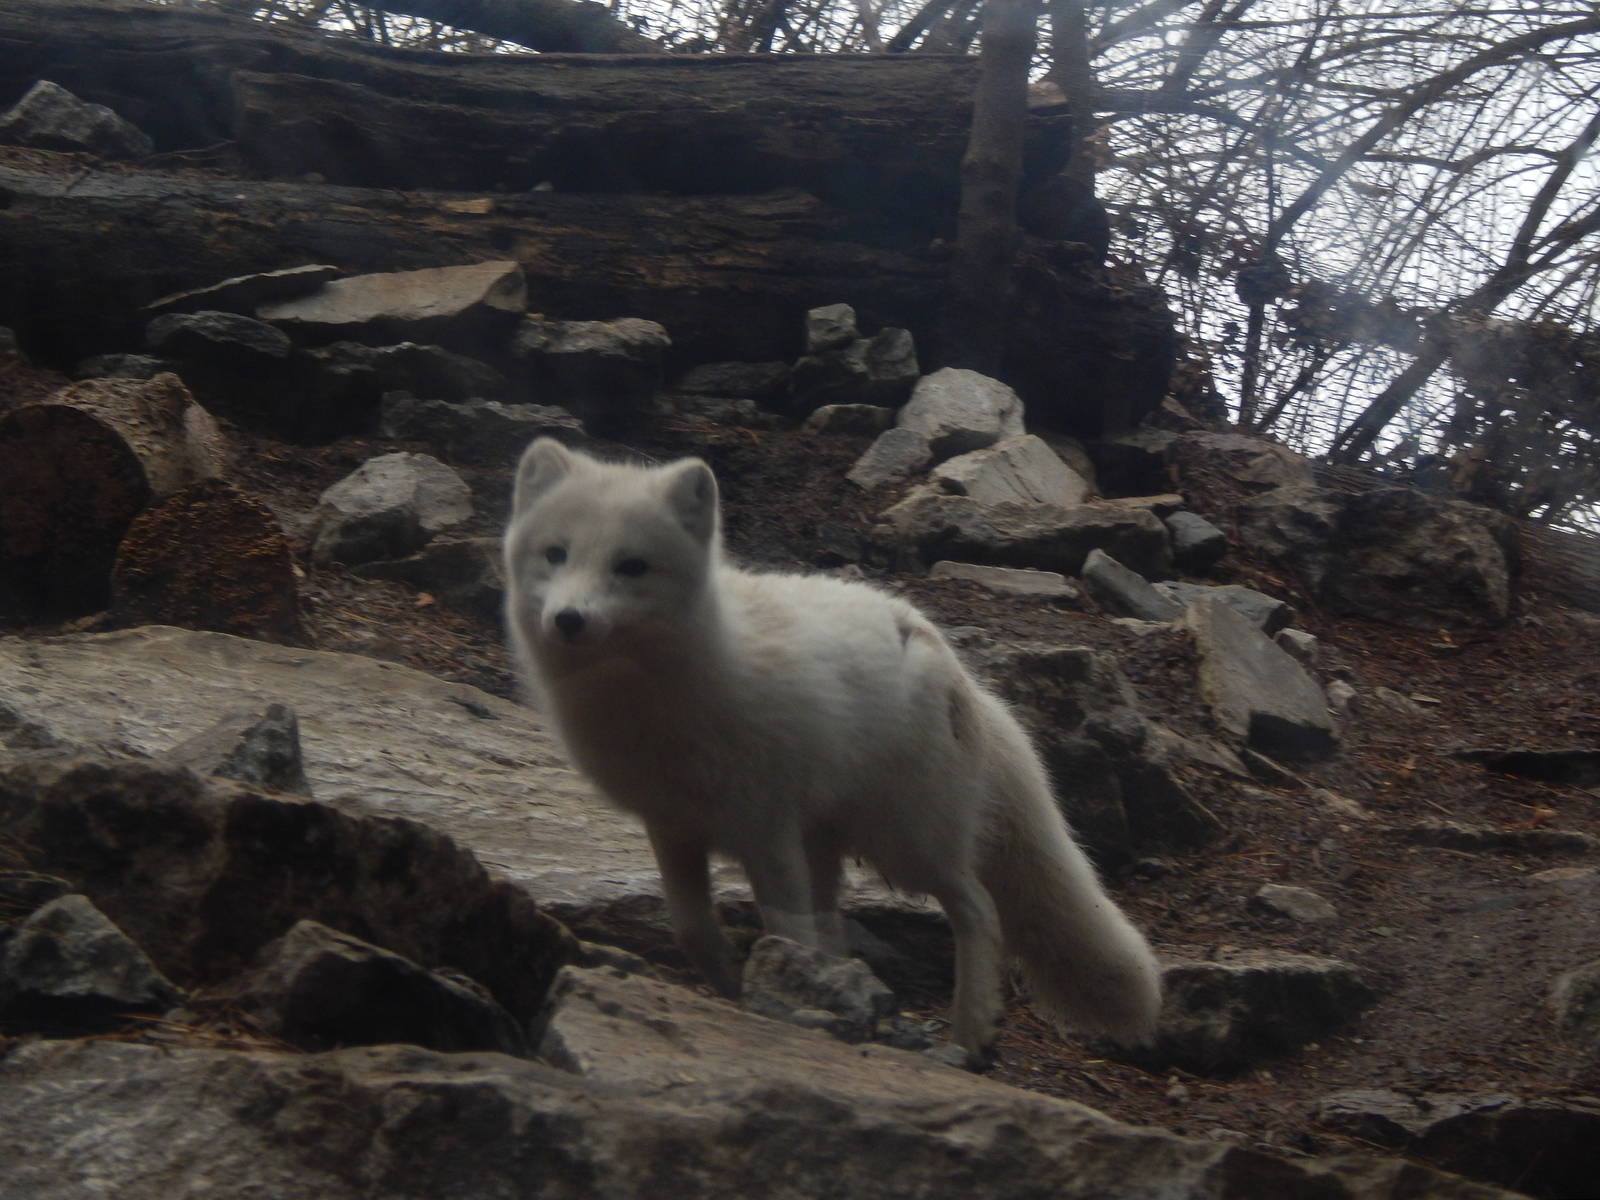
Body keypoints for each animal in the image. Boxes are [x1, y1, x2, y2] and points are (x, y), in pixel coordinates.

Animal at [502, 438, 1162, 1067]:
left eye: (632, 567)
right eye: (556, 554)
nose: (568, 619)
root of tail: (959, 671)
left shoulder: (767, 830)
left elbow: (787, 932)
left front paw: (778, 996)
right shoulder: (672, 826)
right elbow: (691, 928)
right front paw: (731, 979)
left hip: (905, 841)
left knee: (977, 907)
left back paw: (971, 1030)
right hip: (832, 841)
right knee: (841, 923)